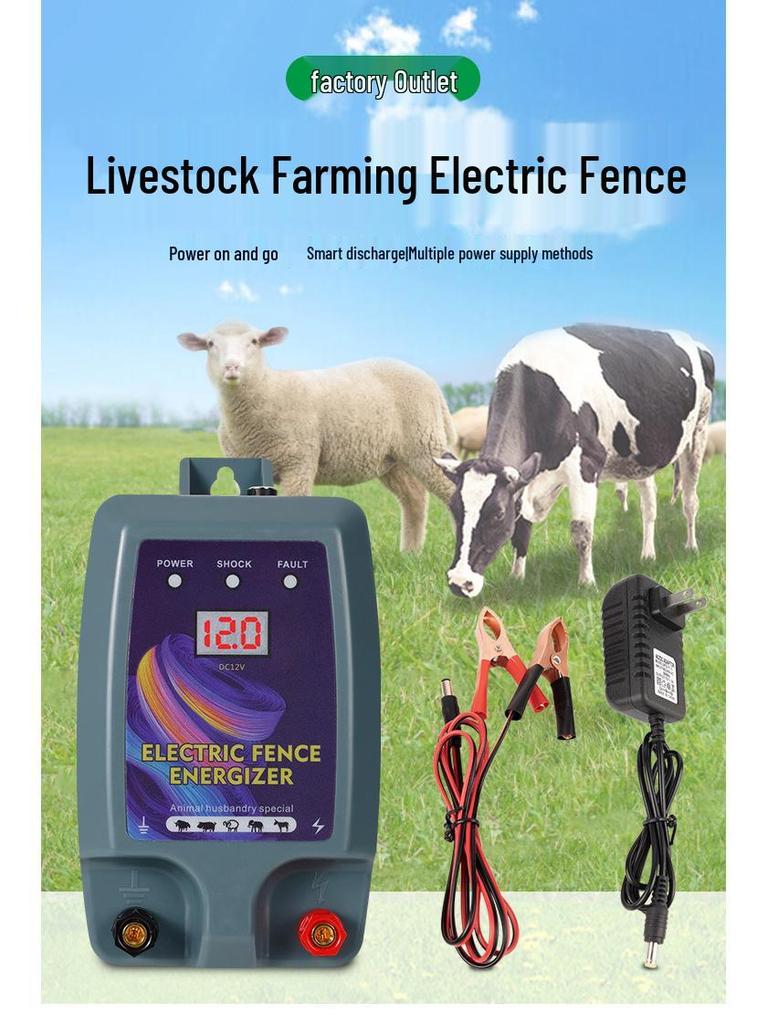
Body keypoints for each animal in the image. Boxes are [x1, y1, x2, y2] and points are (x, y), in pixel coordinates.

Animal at [178, 321, 457, 551]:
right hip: (393, 458)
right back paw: (410, 553)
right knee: (415, 498)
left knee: (453, 491)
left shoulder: (298, 462)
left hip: (424, 442)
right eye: (210, 344)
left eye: (254, 341)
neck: (268, 389)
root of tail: (431, 383)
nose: (232, 367)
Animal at [436, 324, 714, 597]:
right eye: (454, 508)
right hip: (642, 457)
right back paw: (647, 555)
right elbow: (522, 530)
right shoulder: (527, 477)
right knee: (649, 506)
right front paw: (517, 577)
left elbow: (582, 530)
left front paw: (586, 582)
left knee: (690, 500)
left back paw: (691, 546)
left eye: (497, 514)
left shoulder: (587, 464)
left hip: (698, 433)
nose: (459, 582)